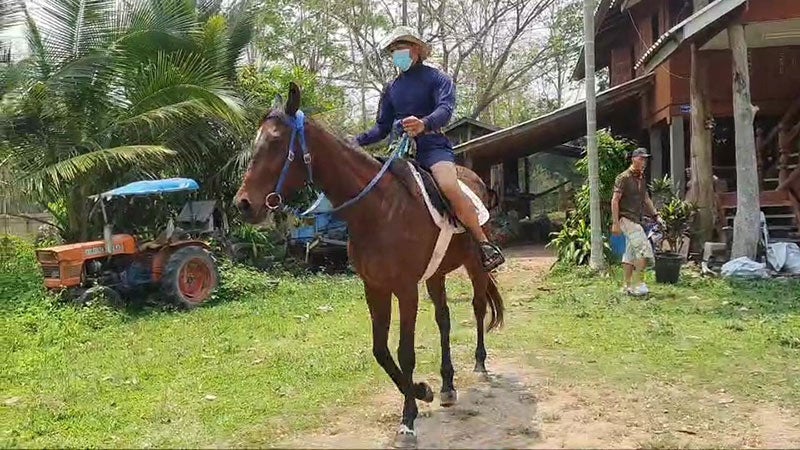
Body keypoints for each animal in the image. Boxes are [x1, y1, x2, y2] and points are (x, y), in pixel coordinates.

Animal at [234, 82, 504, 448]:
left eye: (276, 142)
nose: (243, 204)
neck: (380, 209)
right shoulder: (375, 287)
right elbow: (380, 350)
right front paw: (423, 391)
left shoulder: (405, 289)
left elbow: (405, 352)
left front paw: (408, 421)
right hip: (435, 276)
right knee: (444, 320)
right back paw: (448, 386)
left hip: (476, 266)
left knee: (477, 307)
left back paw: (480, 365)